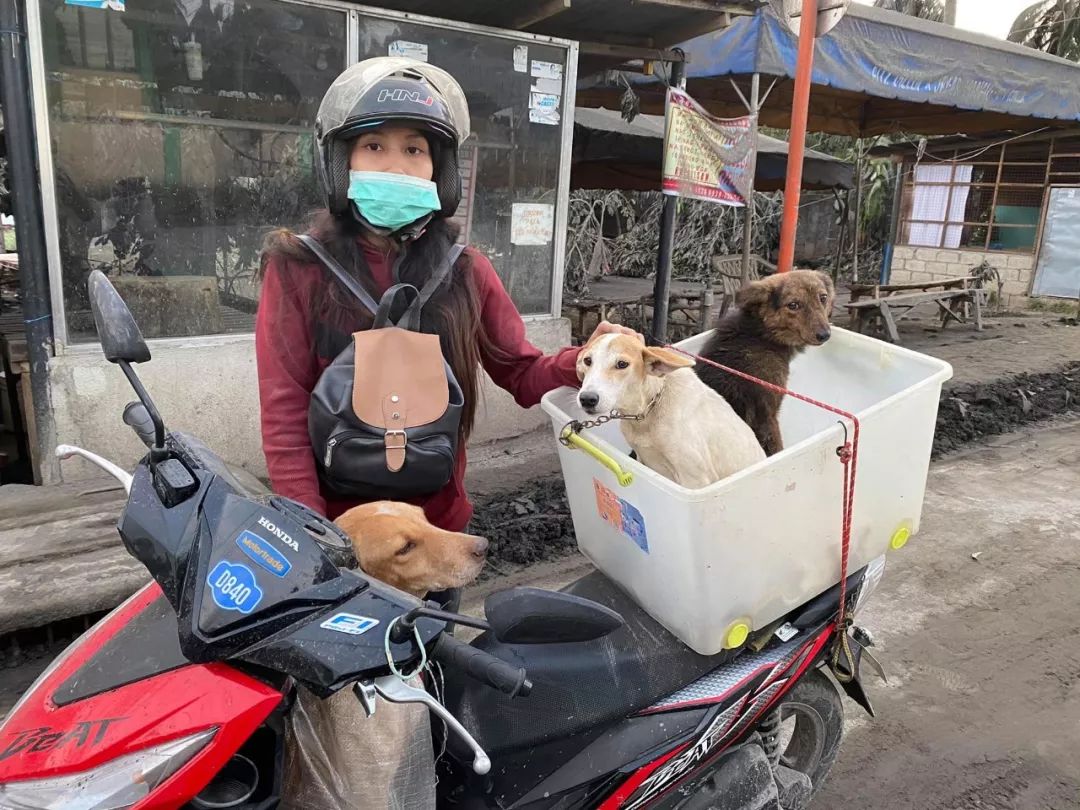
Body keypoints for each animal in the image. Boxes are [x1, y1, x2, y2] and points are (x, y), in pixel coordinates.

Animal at [578, 334, 764, 488]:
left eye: (622, 364)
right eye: (587, 361)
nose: (587, 399)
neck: (647, 412)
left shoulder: (695, 478)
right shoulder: (642, 457)